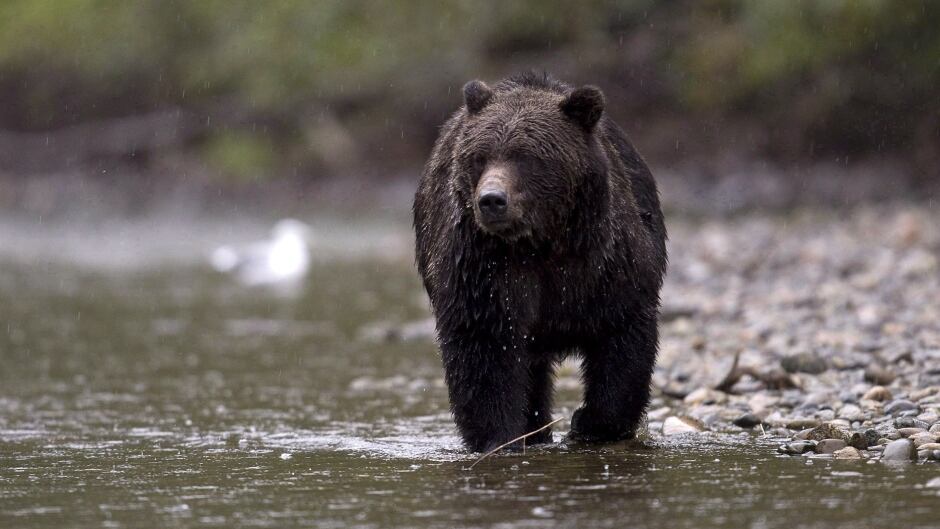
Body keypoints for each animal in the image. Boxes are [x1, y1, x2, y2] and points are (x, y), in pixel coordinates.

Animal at [414, 72, 668, 452]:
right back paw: (535, 430)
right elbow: (484, 347)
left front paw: (590, 423)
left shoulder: (606, 263)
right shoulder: (481, 268)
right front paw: (500, 436)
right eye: (480, 156)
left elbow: (622, 336)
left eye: (527, 156)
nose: (492, 200)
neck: (541, 242)